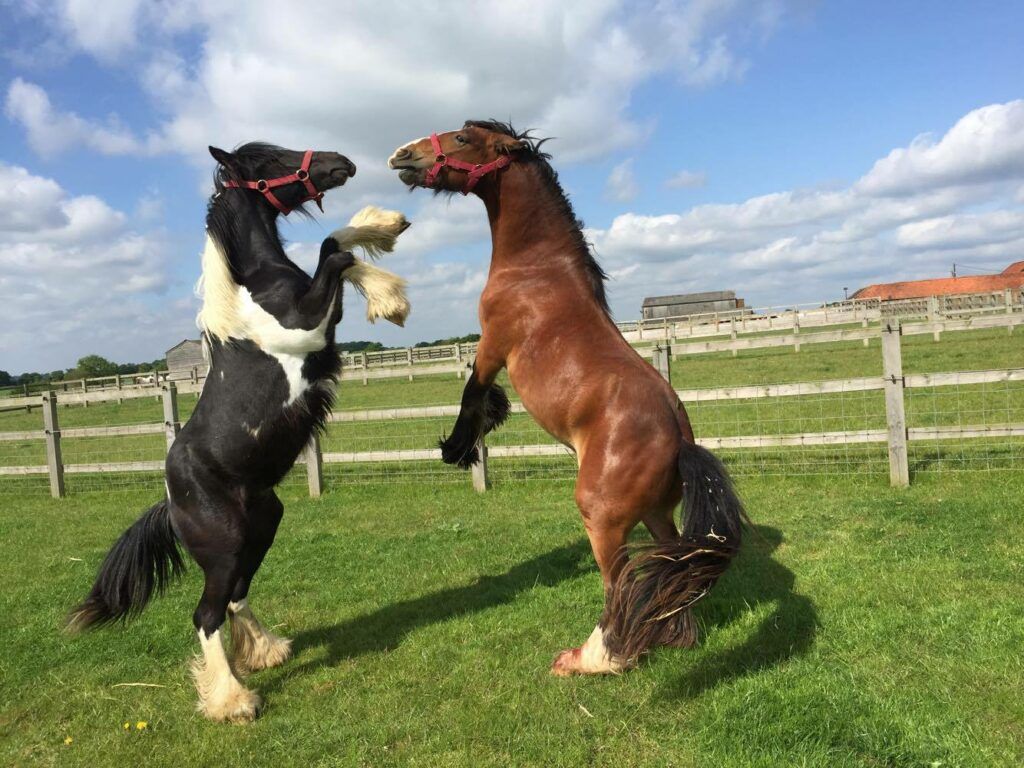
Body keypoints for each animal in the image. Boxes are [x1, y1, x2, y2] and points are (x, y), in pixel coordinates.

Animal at [66, 143, 411, 720]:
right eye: (271, 161)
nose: (340, 162)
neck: (255, 288)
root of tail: (170, 497)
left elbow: (335, 245)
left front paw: (386, 231)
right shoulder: (309, 325)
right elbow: (331, 252)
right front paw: (390, 295)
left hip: (263, 523)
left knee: (233, 596)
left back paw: (266, 651)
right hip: (224, 544)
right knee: (205, 615)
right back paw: (233, 701)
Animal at [387, 120, 749, 671]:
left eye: (464, 138)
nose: (402, 156)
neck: (538, 269)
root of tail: (681, 438)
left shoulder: (493, 343)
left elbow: (472, 392)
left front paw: (458, 447)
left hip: (601, 517)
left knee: (618, 583)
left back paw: (592, 659)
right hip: (656, 516)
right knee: (668, 572)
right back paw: (666, 638)